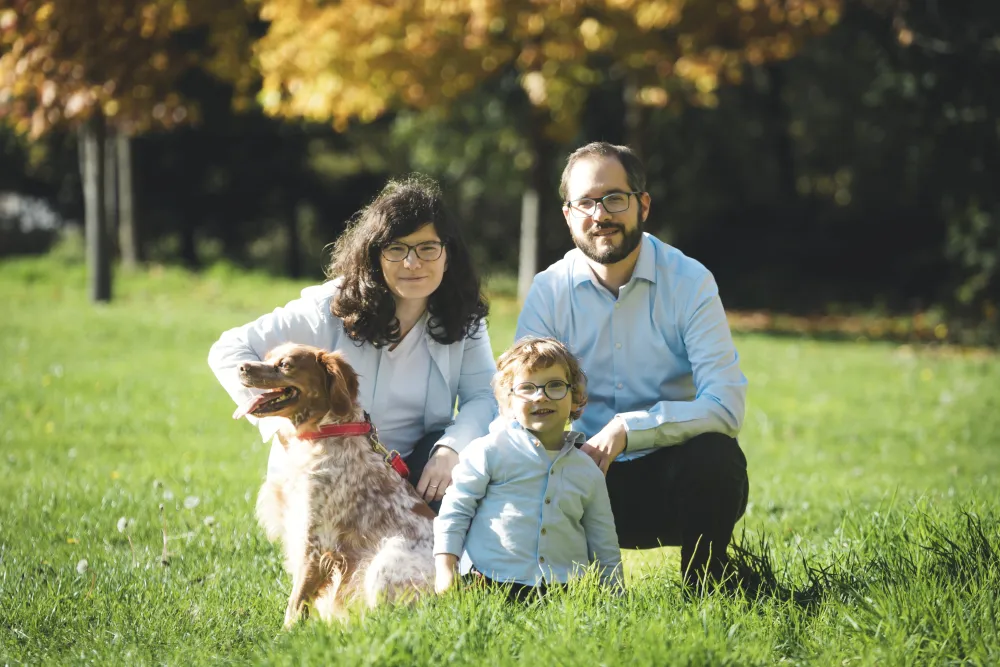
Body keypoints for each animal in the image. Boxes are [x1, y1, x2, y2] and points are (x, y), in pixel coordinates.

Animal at [233, 342, 436, 626]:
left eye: (285, 365)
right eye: (267, 357)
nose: (242, 367)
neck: (325, 431)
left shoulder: (316, 541)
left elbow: (295, 602)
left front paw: (286, 633)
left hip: (385, 560)